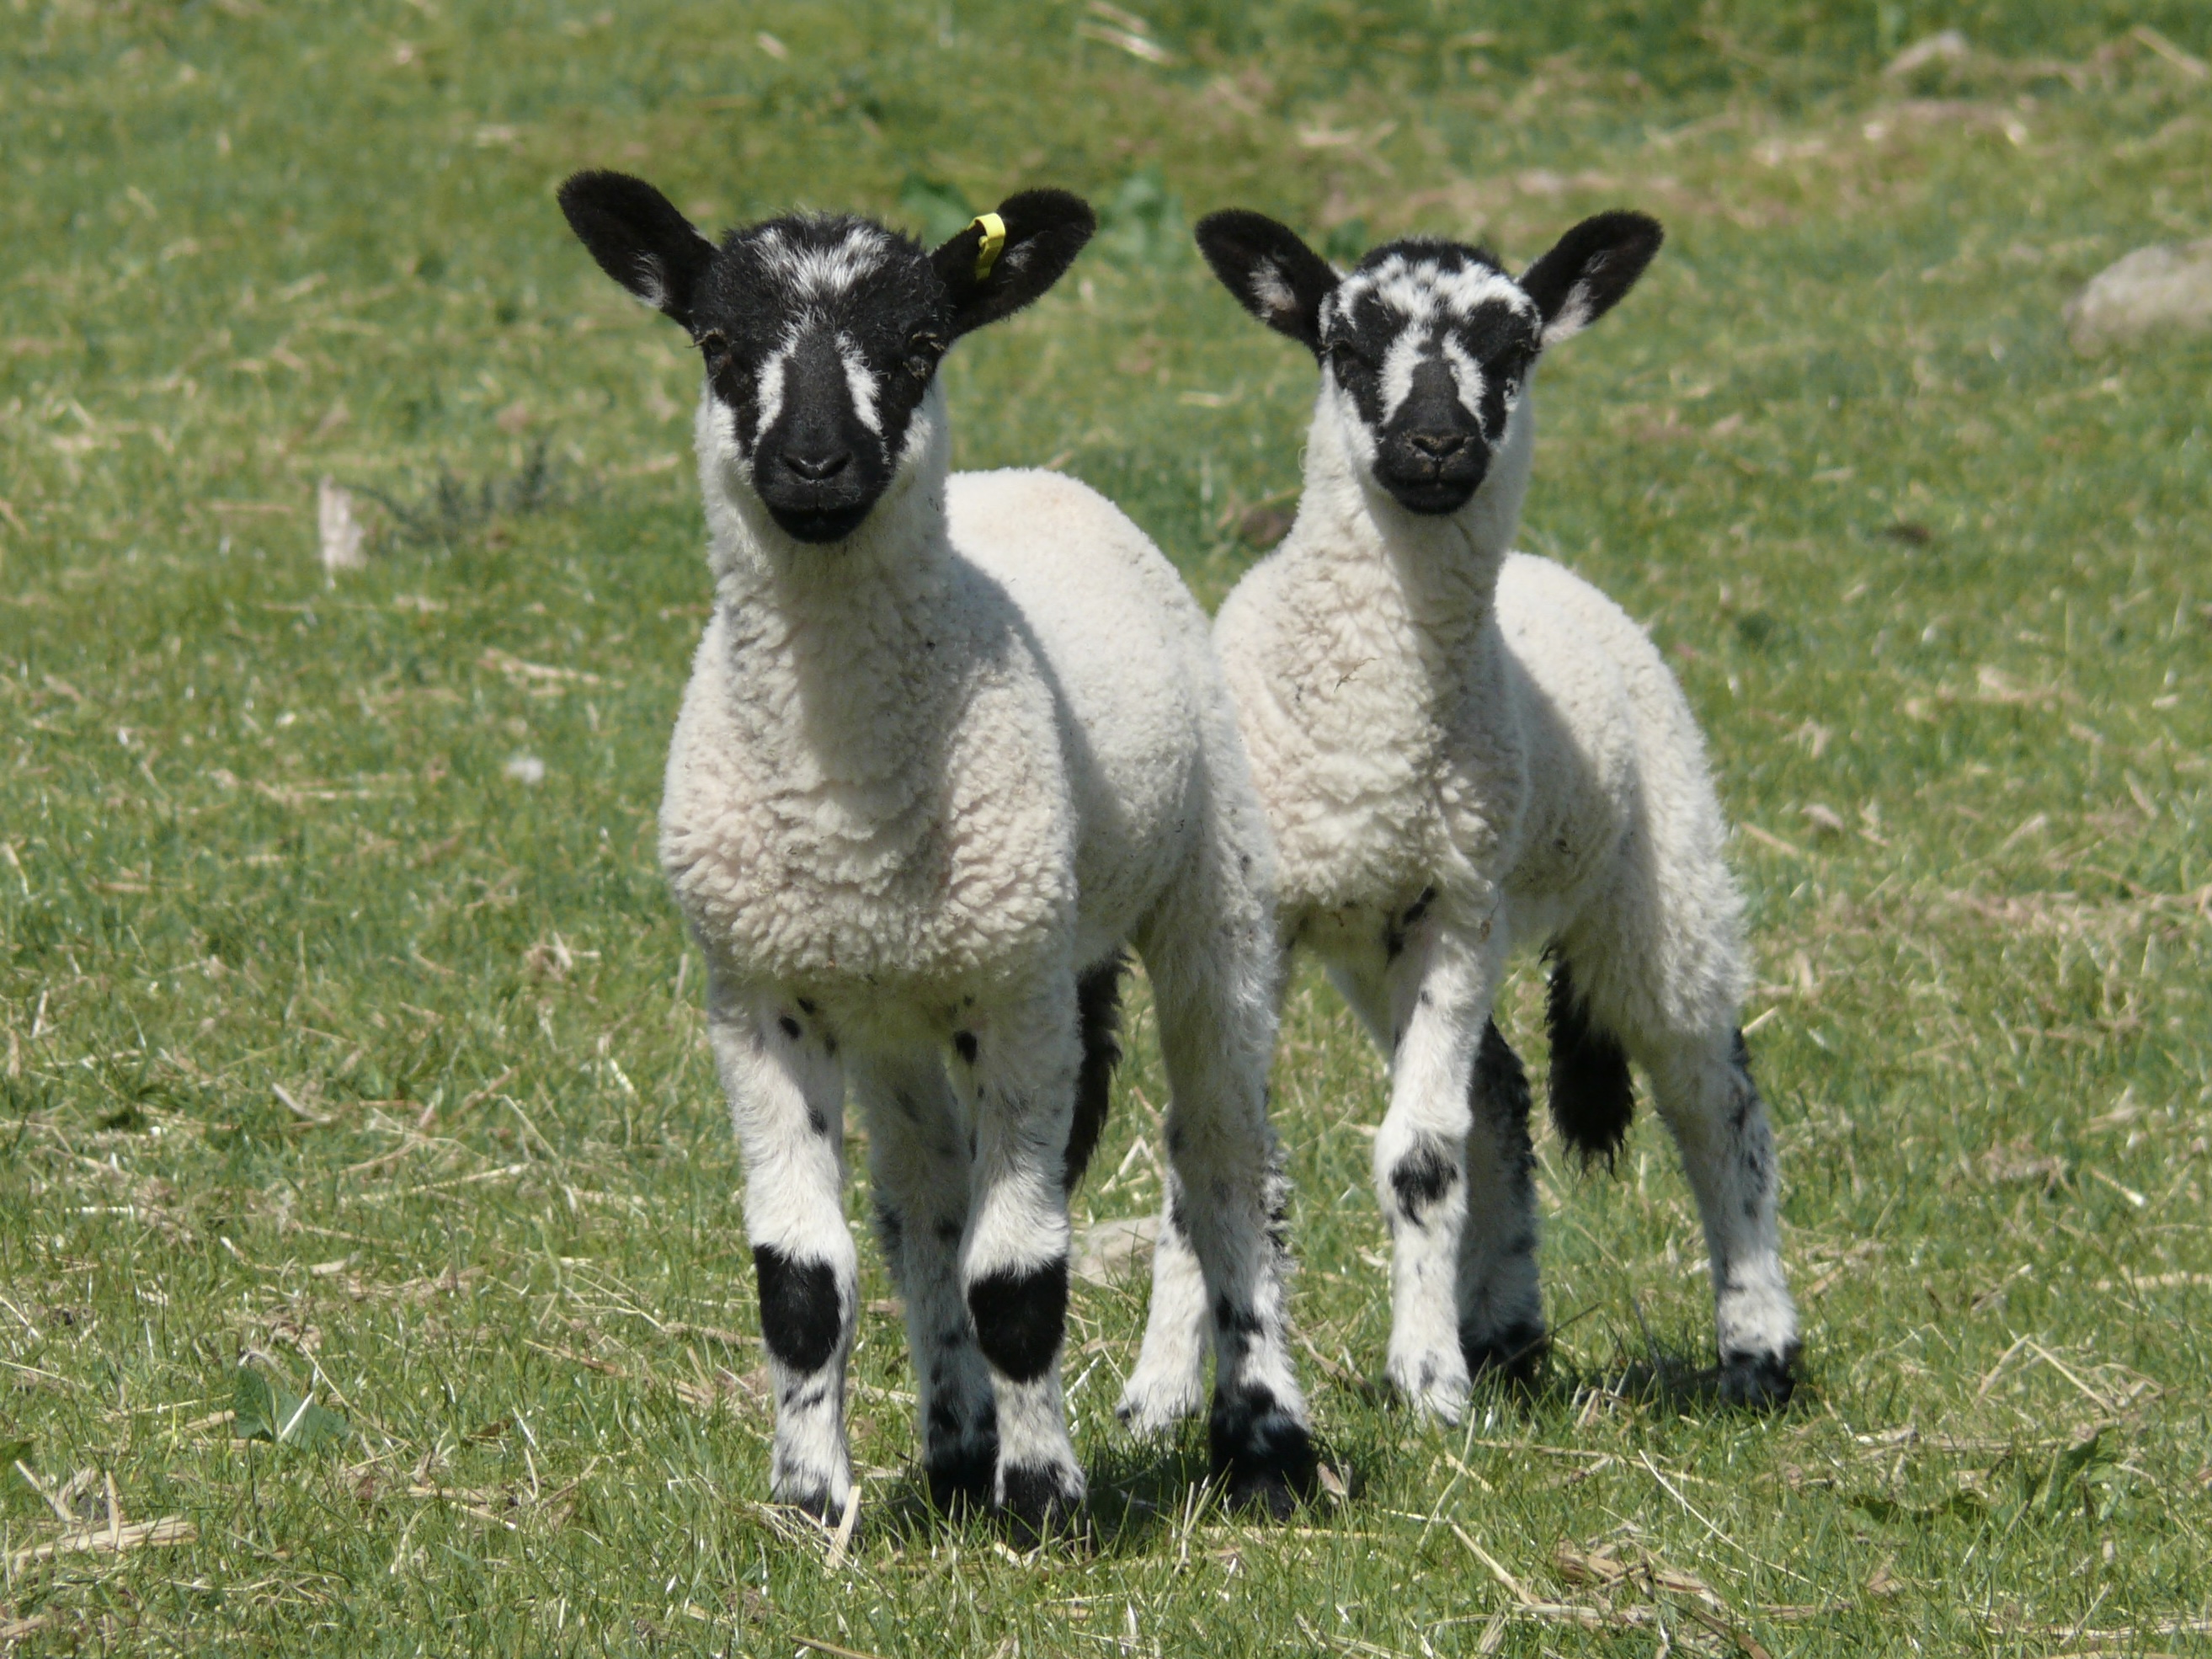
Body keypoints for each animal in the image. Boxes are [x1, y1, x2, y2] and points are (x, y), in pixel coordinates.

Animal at [555, 172, 1315, 1533]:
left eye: (918, 346)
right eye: (717, 342)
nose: (814, 464)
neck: (842, 793)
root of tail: (1035, 480)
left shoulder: (1018, 991)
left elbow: (1018, 1278)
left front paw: (1049, 1498)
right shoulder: (756, 996)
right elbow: (803, 1280)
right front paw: (810, 1503)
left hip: (1205, 892)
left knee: (1228, 1162)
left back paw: (1265, 1438)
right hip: (899, 1006)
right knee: (924, 1201)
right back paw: (956, 1448)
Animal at [1120, 207, 1799, 1429]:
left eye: (1516, 344)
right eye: (1342, 342)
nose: (1434, 444)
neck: (1371, 730)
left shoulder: (1461, 905)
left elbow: (1418, 1156)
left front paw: (1427, 1386)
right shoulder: (1252, 915)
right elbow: (1206, 1145)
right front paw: (1155, 1395)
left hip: (1661, 867)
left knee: (1711, 1094)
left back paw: (1755, 1349)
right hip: (1378, 946)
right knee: (1502, 1090)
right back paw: (1507, 1332)